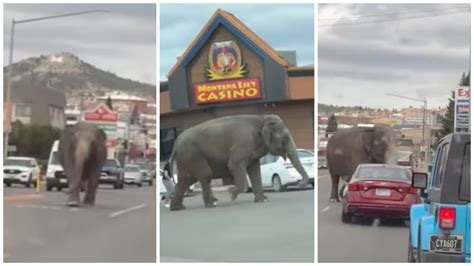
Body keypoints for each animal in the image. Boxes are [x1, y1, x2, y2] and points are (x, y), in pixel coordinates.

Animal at [168, 114, 312, 212]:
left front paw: (263, 200)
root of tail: (176, 143)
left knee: (186, 180)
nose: (301, 184)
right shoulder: (243, 143)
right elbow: (234, 165)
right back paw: (211, 204)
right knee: (205, 175)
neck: (261, 119)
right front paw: (231, 193)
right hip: (193, 155)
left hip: (186, 158)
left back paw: (178, 207)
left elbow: (255, 171)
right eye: (285, 138)